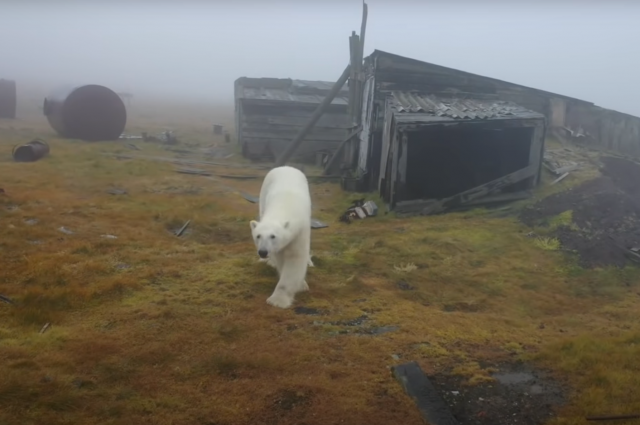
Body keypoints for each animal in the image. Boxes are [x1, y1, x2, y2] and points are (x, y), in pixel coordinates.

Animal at [249, 164, 312, 306]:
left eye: (273, 236)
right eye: (258, 236)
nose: (263, 252)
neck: (285, 205)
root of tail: (286, 166)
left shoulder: (300, 232)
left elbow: (295, 257)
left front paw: (278, 300)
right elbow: (281, 259)